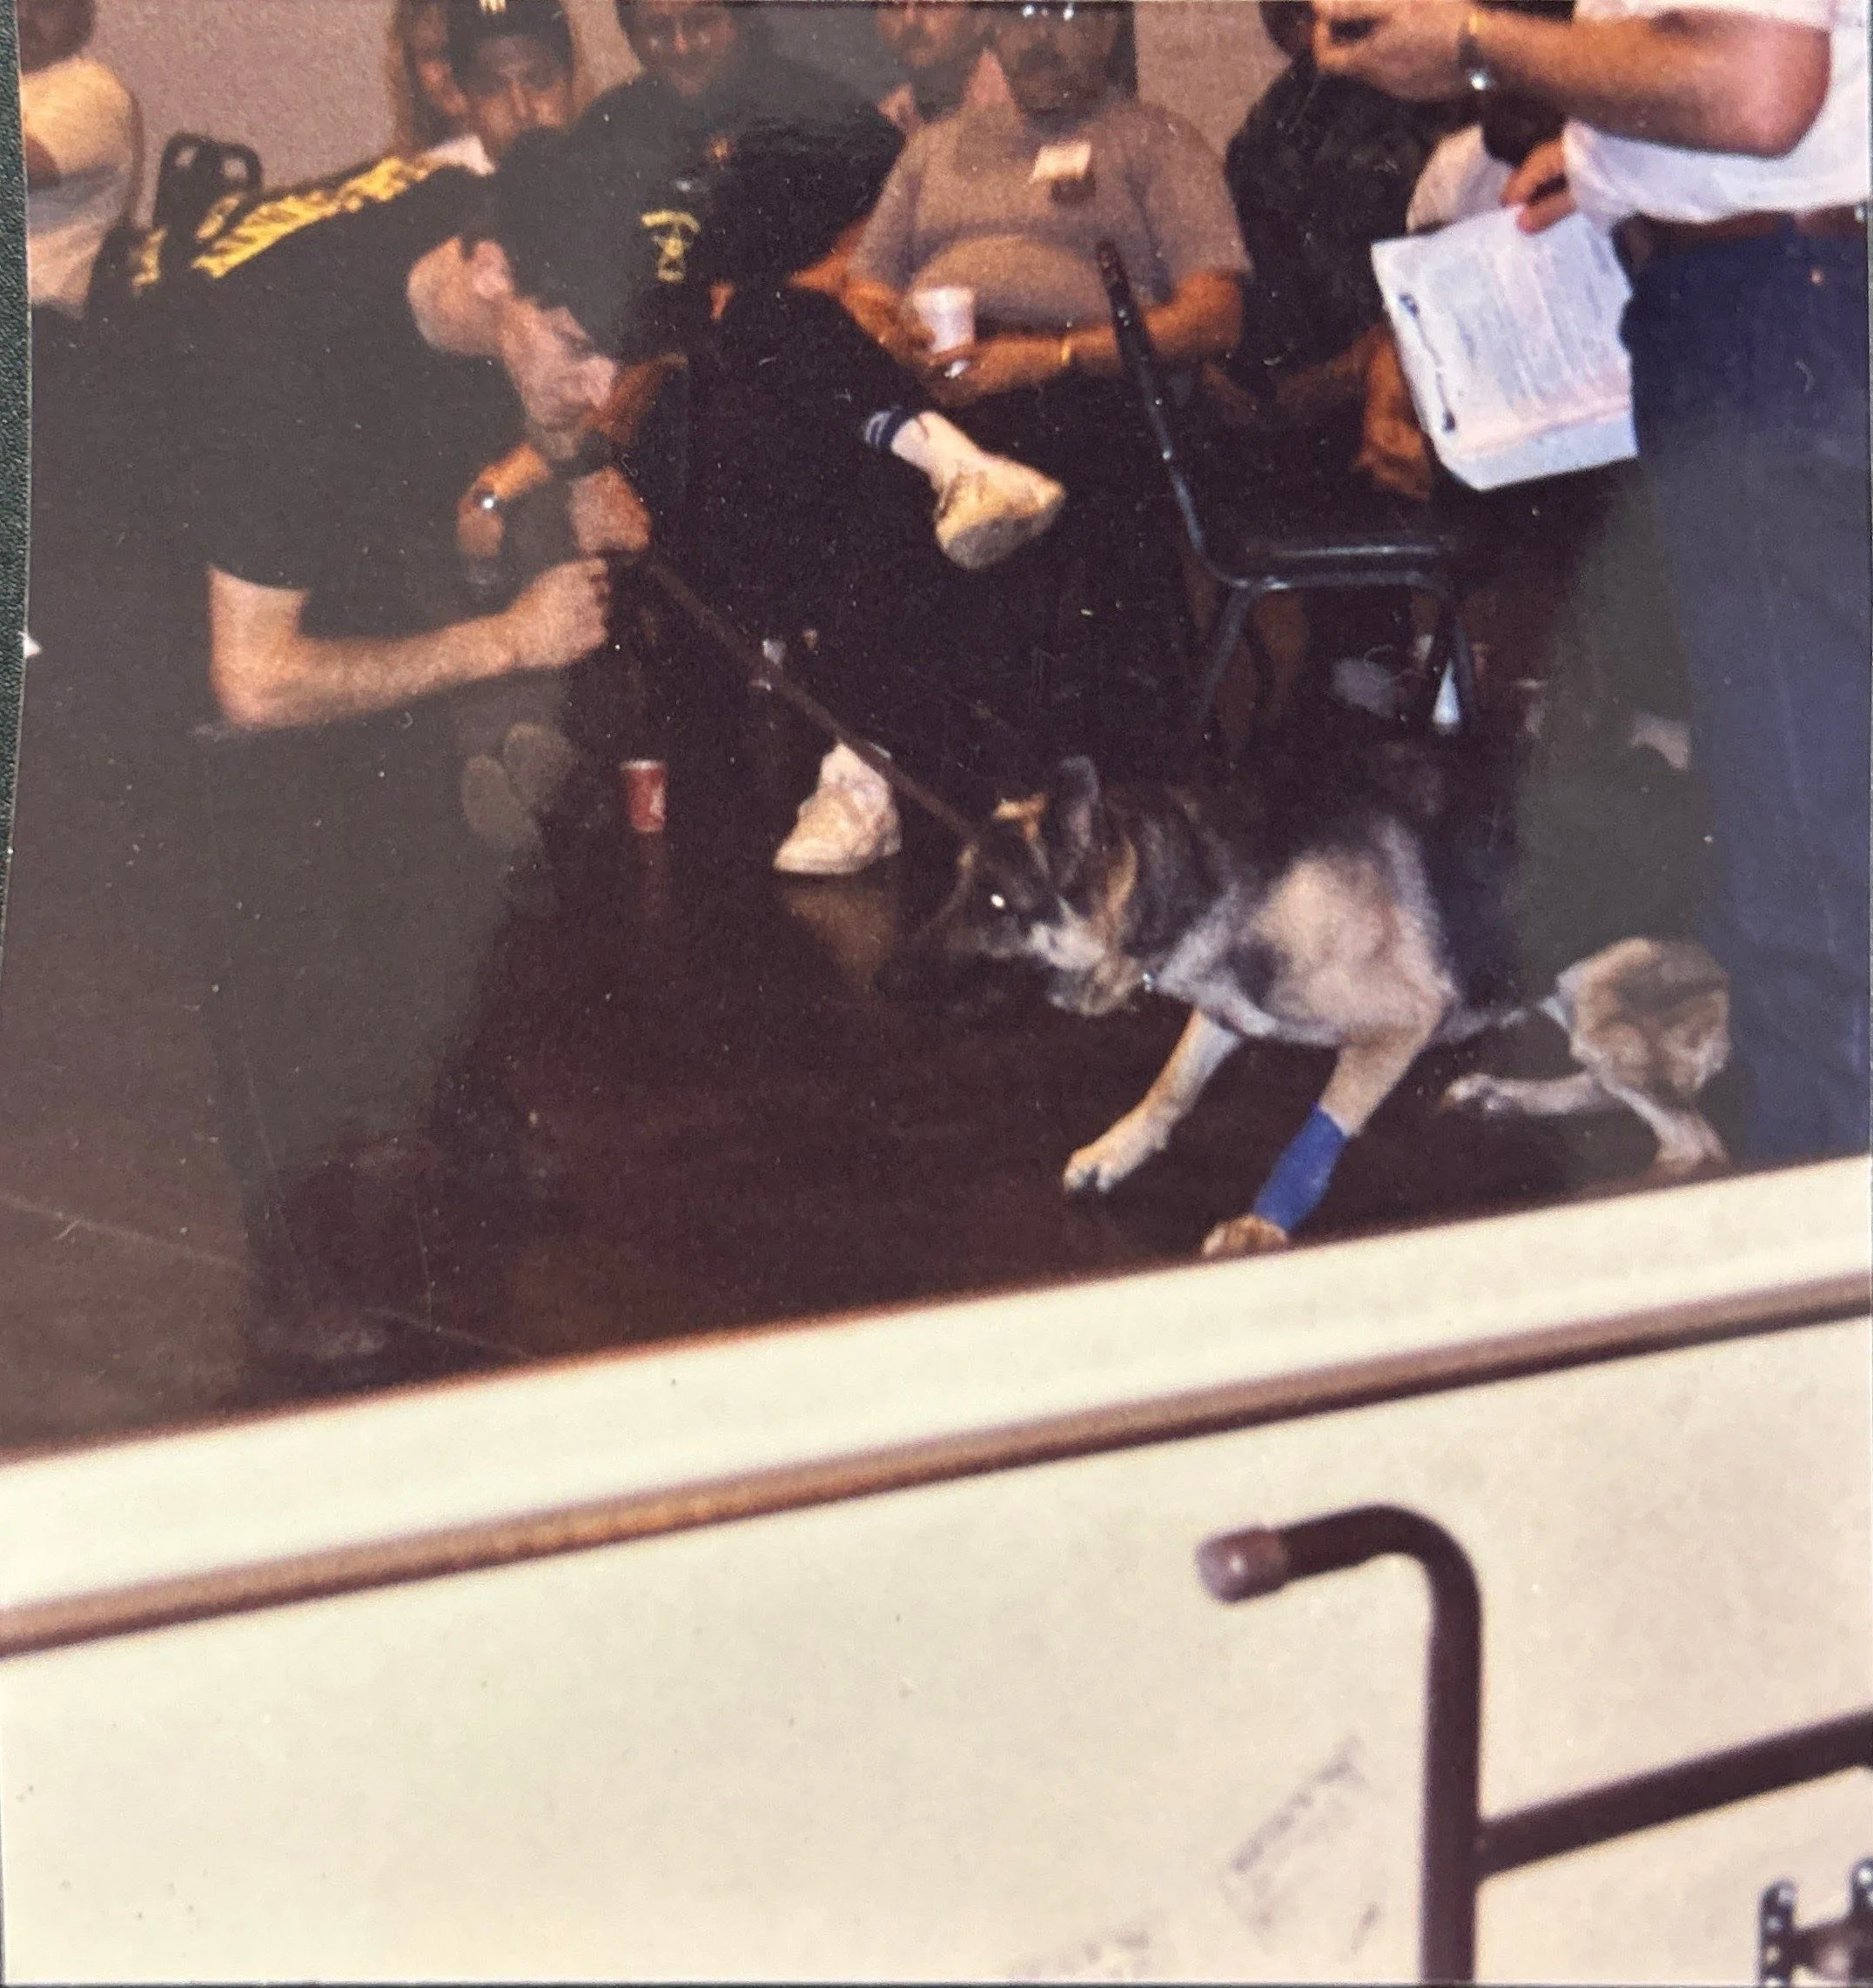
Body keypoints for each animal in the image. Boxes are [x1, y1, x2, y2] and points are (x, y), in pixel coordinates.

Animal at [881, 733, 1728, 1257]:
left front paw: (1263, 1224)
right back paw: (1505, 1095)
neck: (1196, 874)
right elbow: (1169, 1089)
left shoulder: (1399, 1026)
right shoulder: (1226, 1012)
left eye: (996, 904)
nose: (891, 978)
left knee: (1694, 1143)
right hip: (1560, 987)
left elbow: (1318, 1134)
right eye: (959, 885)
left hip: (1599, 995)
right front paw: (1116, 1151)